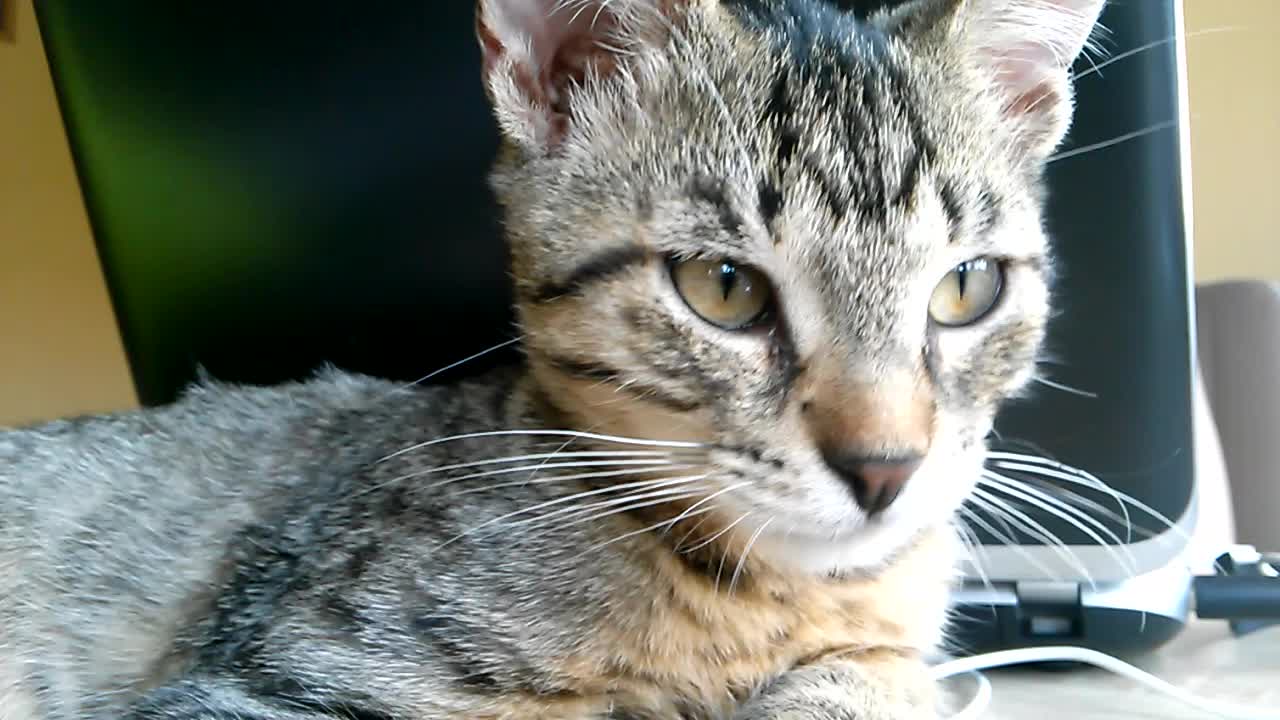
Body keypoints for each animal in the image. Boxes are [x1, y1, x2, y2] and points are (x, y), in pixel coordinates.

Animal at [0, 1, 1105, 717]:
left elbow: (868, 679)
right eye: (723, 287)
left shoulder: (879, 649)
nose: (885, 470)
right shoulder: (280, 674)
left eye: (967, 287)